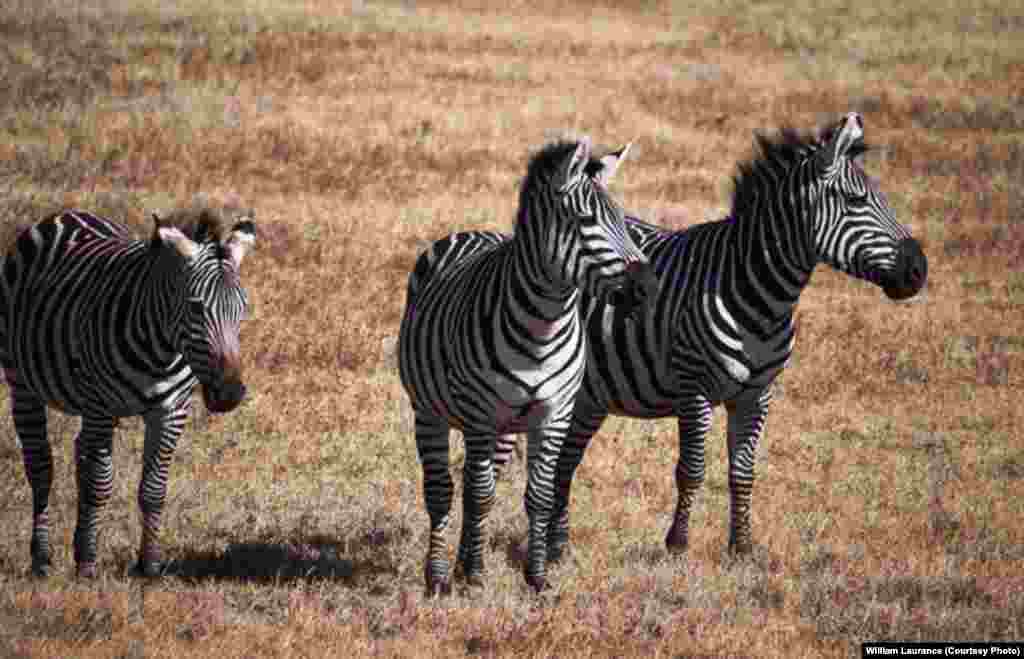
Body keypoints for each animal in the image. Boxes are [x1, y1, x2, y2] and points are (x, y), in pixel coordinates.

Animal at [1, 207, 256, 577]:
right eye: (195, 307)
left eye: (243, 307)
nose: (230, 392)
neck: (160, 350)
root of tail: (66, 214)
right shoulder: (99, 405)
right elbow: (99, 482)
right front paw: (88, 564)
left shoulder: (172, 412)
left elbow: (154, 488)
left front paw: (148, 564)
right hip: (22, 382)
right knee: (41, 467)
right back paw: (42, 557)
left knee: (80, 452)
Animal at [399, 136, 655, 593]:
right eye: (585, 220)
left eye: (623, 220)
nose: (649, 288)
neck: (542, 327)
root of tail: (471, 231)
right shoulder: (480, 415)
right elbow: (479, 495)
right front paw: (478, 575)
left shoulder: (553, 416)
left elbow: (539, 496)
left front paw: (536, 577)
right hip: (429, 410)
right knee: (443, 489)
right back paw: (439, 576)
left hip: (503, 428)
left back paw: (460, 563)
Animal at [495, 112, 929, 560]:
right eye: (857, 201)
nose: (919, 270)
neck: (758, 297)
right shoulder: (695, 390)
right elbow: (692, 469)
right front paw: (677, 543)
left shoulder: (758, 395)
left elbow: (743, 471)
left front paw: (742, 546)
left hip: (590, 395)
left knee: (565, 464)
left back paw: (558, 547)